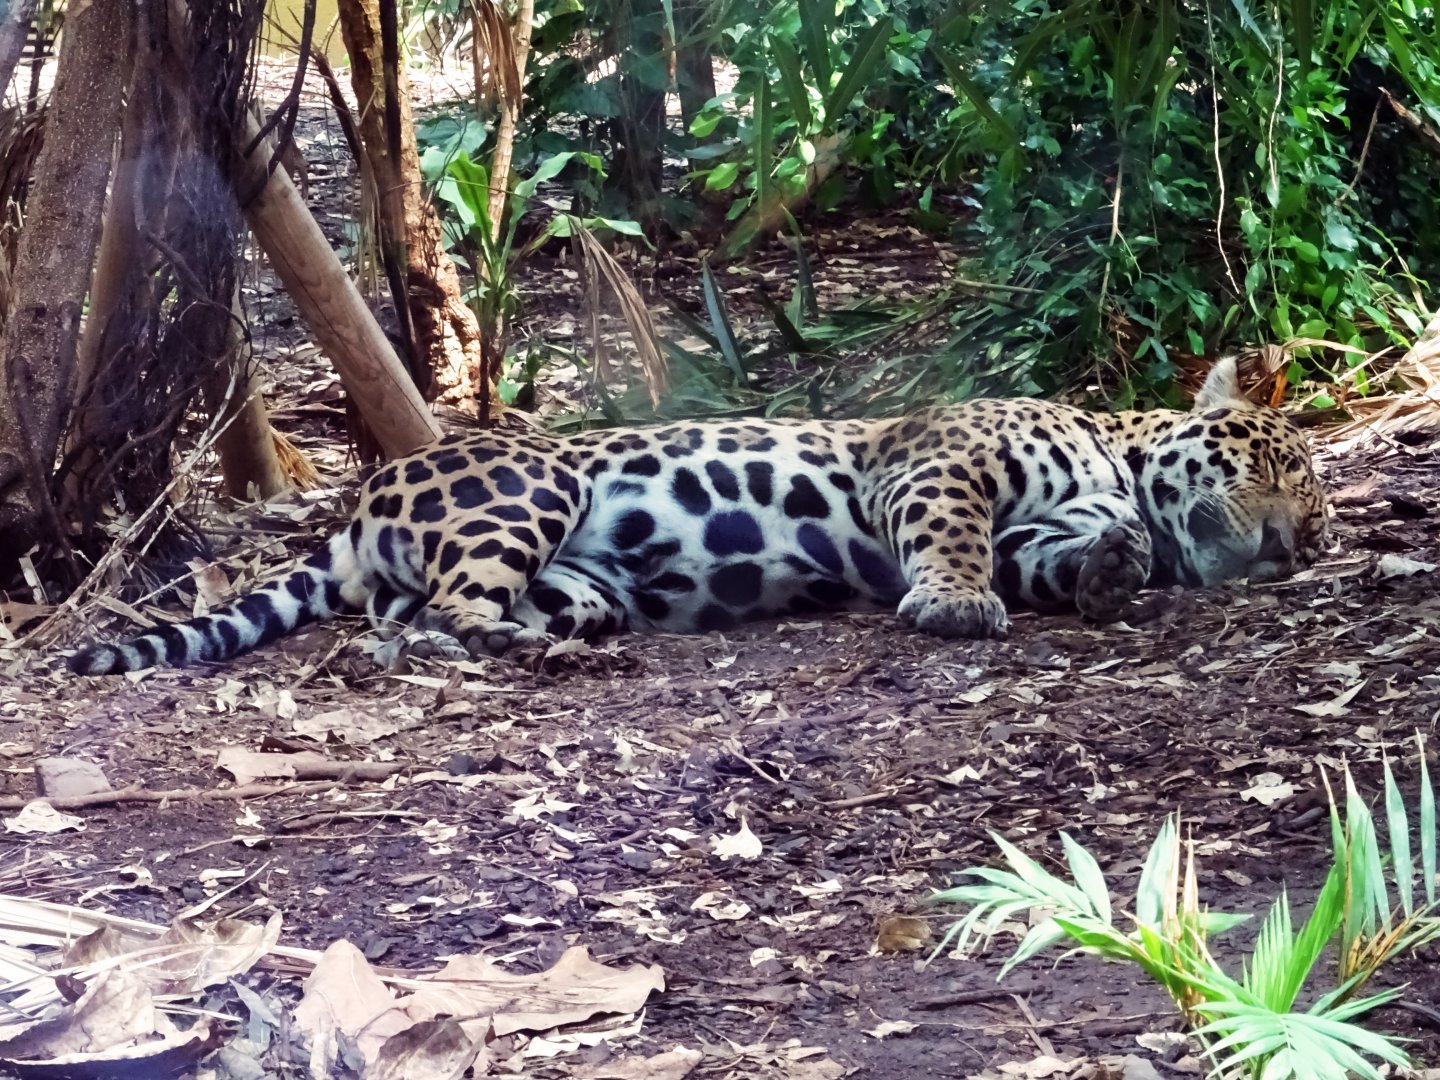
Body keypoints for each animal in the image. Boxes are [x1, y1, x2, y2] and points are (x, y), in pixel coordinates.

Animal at [67, 356, 1328, 675]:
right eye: (1273, 460)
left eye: (1314, 525)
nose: (1288, 545)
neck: (1115, 450)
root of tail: (369, 490)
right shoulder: (936, 466)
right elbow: (954, 538)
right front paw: (957, 606)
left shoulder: (1042, 528)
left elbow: (1073, 552)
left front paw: (1112, 564)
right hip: (531, 490)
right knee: (436, 614)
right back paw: (517, 650)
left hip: (584, 576)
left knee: (417, 615)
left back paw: (551, 645)